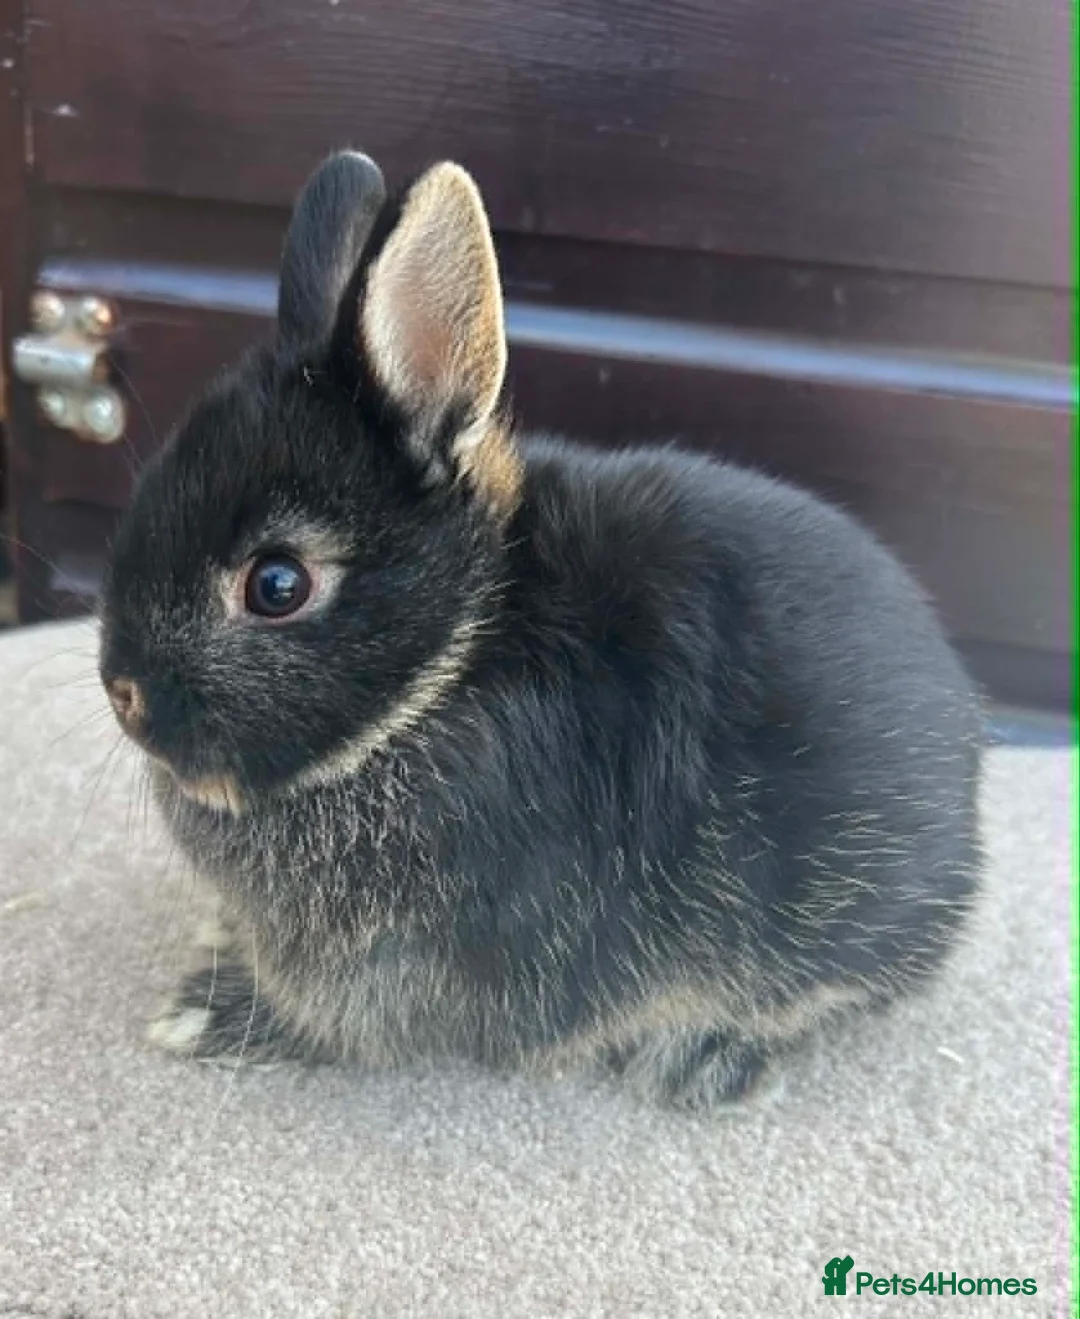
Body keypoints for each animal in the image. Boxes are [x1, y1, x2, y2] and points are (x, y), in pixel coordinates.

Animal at [98, 149, 981, 1110]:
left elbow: (341, 1031)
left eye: (277, 584)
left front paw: (209, 1013)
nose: (123, 691)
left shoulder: (398, 973)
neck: (454, 659)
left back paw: (705, 1057)